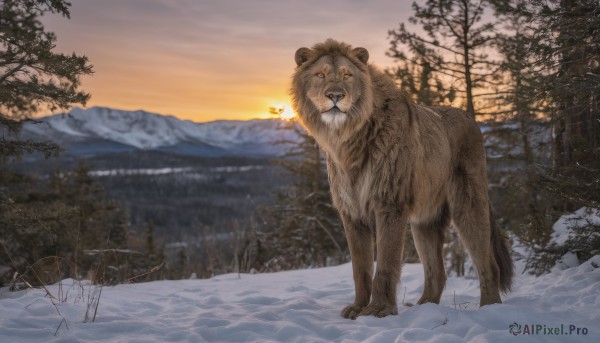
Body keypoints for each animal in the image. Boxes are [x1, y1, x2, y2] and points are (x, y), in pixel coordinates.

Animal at [292, 39, 516, 320]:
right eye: (320, 75)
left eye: (347, 75)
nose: (335, 96)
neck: (348, 140)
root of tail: (470, 118)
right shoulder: (351, 212)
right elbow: (360, 269)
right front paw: (357, 308)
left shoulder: (389, 203)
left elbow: (386, 265)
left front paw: (378, 310)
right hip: (425, 221)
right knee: (436, 272)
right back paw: (424, 308)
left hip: (469, 203)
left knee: (488, 263)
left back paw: (489, 309)